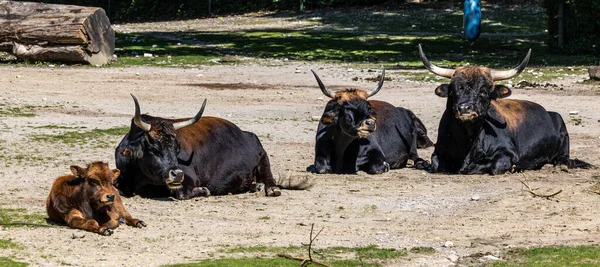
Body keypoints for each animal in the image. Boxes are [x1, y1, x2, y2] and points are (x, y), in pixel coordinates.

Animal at [115, 95, 284, 200]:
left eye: (177, 149)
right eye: (152, 149)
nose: (178, 174)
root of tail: (246, 134)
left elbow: (183, 193)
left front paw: (204, 190)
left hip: (262, 155)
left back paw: (271, 188)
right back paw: (257, 186)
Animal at [418, 44, 592, 174]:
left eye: (484, 91)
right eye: (453, 90)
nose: (465, 108)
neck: (467, 145)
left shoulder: (507, 152)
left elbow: (496, 166)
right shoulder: (438, 152)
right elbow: (436, 165)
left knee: (562, 160)